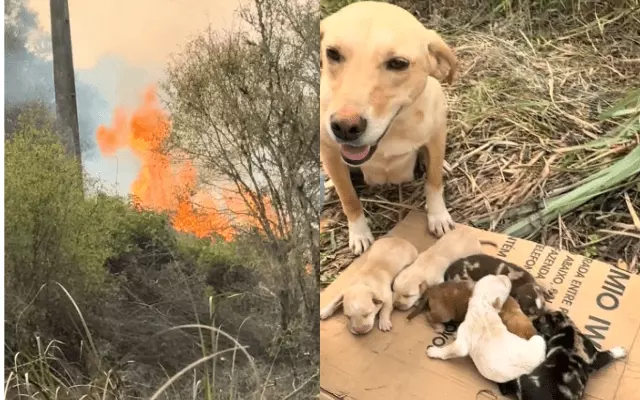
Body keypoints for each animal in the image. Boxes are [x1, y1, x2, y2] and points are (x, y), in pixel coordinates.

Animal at [320, 0, 460, 256]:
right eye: (332, 53)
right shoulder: (330, 153)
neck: (392, 131)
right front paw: (359, 233)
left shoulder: (435, 138)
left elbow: (434, 183)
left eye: (398, 63)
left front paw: (438, 217)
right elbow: (349, 199)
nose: (344, 127)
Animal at [498, 310, 628, 398]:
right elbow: (610, 354)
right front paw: (621, 350)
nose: (532, 320)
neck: (564, 329)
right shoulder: (595, 358)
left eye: (540, 320)